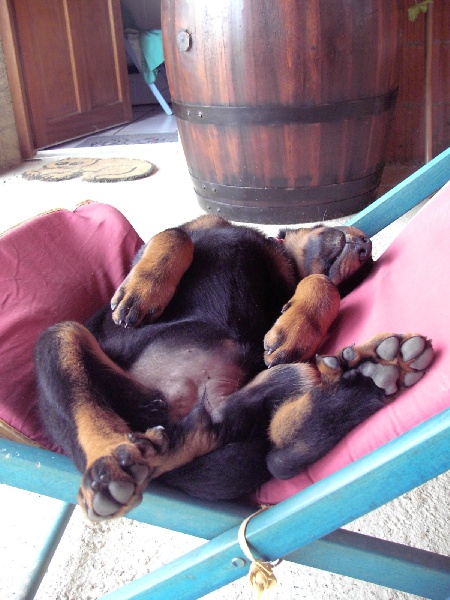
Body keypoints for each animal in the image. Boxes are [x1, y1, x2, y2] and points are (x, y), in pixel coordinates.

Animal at [35, 214, 433, 521]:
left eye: (361, 278)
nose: (366, 245)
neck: (281, 259)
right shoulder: (191, 230)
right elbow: (175, 235)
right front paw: (142, 292)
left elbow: (320, 282)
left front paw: (298, 326)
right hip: (60, 338)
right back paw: (109, 466)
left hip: (243, 406)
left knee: (259, 446)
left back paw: (371, 376)